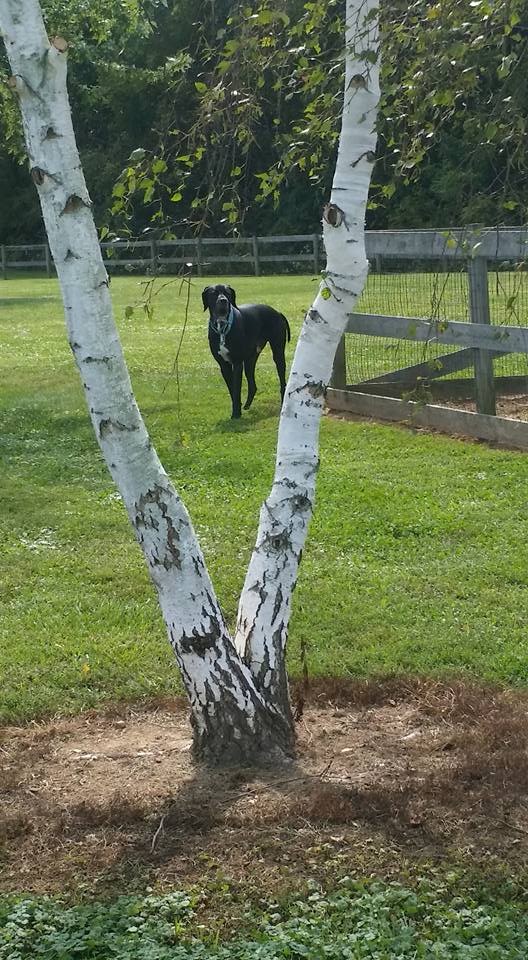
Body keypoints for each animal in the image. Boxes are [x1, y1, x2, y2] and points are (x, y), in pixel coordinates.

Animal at [202, 284, 291, 419]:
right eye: (213, 293)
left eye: (227, 293)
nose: (223, 300)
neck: (222, 328)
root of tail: (277, 312)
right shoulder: (224, 366)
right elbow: (232, 390)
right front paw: (236, 409)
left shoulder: (237, 364)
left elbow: (236, 389)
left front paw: (236, 414)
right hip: (250, 360)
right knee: (252, 385)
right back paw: (247, 405)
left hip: (278, 353)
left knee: (282, 381)